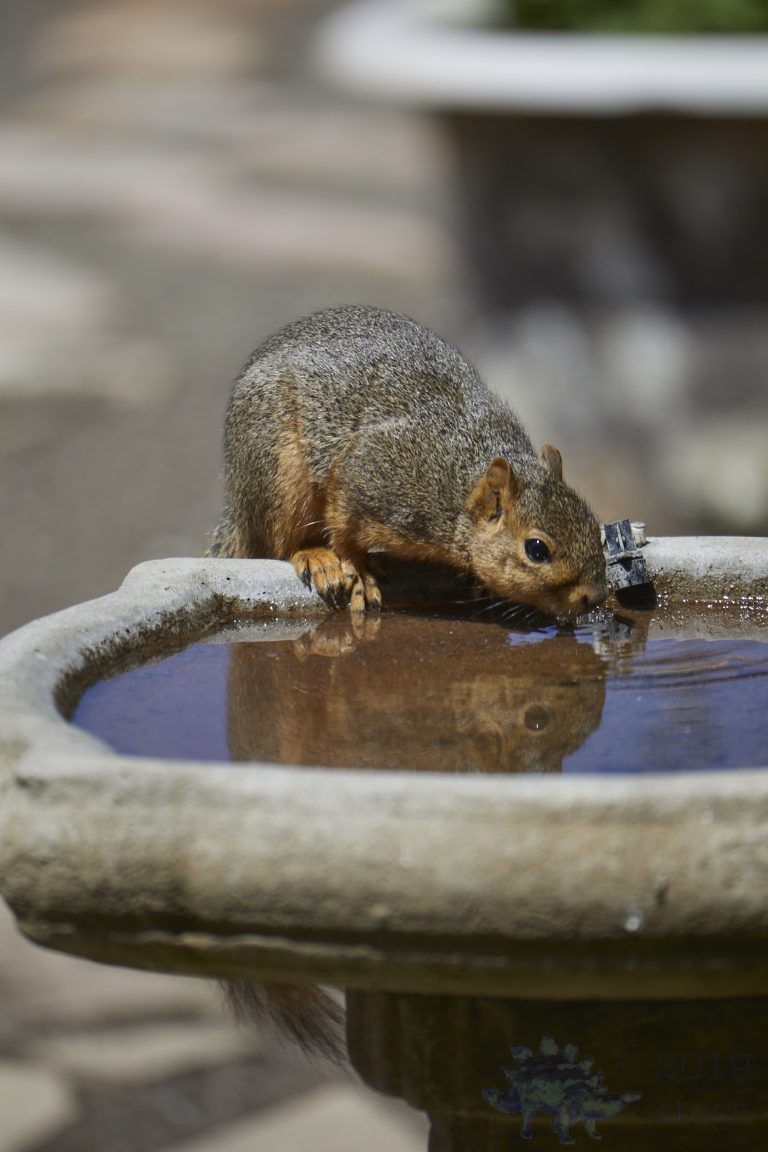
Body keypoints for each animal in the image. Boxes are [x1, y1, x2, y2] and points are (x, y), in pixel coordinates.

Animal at [208, 305, 607, 617]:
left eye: (593, 524)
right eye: (537, 549)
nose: (595, 597)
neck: (461, 482)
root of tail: (237, 511)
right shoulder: (375, 471)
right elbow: (342, 523)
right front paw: (356, 566)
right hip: (276, 472)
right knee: (277, 543)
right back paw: (315, 556)